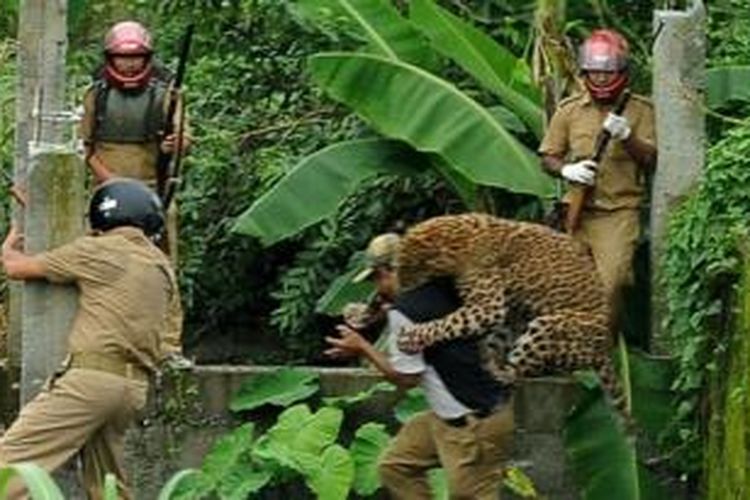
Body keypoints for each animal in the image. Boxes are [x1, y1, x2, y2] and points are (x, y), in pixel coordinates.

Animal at [394, 213, 624, 412]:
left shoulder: (489, 307)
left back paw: (497, 374)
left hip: (550, 325)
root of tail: (603, 351)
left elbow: (448, 323)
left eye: (408, 271)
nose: (399, 290)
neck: (455, 236)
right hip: (517, 318)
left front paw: (411, 338)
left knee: (516, 375)